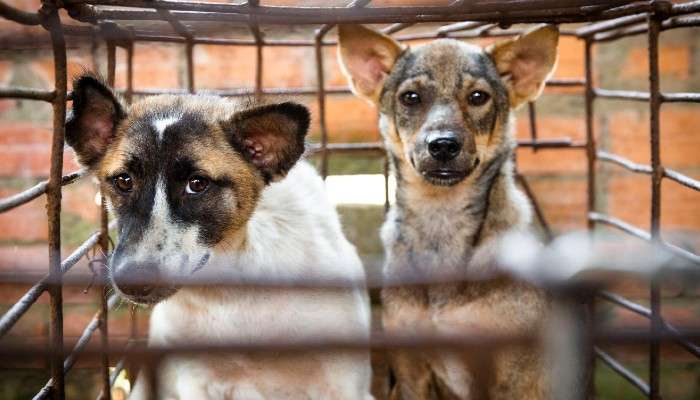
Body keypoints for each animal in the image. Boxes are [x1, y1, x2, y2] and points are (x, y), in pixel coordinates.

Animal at [63, 73, 374, 398]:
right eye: (124, 180)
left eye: (197, 184)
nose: (133, 281)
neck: (230, 294)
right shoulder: (198, 382)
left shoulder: (343, 384)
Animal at [336, 23, 560, 398]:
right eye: (410, 97)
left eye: (478, 97)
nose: (442, 145)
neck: (440, 218)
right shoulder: (410, 371)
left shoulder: (513, 379)